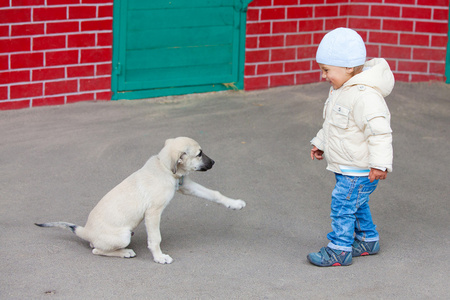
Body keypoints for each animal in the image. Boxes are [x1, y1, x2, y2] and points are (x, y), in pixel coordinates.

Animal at [35, 137, 246, 264]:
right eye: (199, 154)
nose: (214, 162)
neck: (165, 167)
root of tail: (85, 231)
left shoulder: (186, 186)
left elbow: (214, 194)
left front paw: (235, 204)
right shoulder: (153, 212)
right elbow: (155, 238)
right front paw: (159, 257)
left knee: (94, 247)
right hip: (123, 235)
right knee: (97, 251)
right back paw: (124, 252)